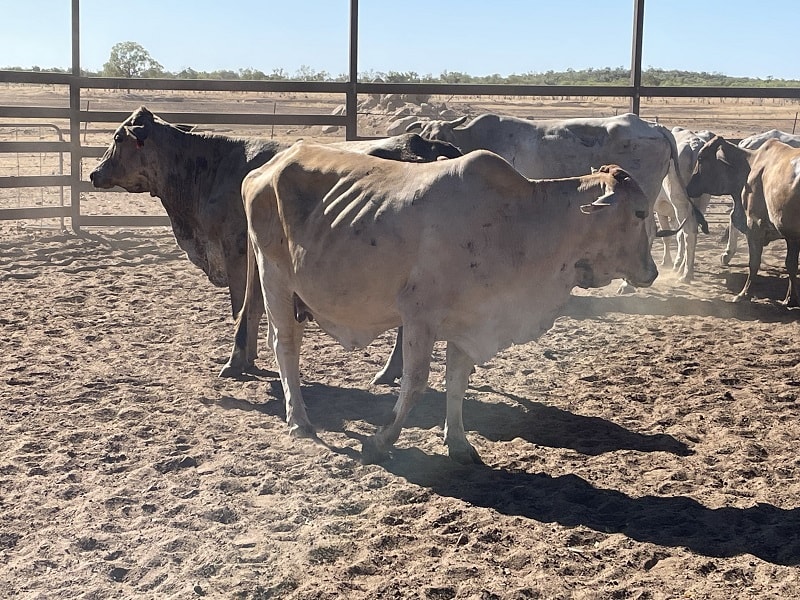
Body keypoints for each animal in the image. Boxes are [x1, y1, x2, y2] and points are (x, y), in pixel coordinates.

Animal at [89, 106, 461, 379]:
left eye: (118, 137)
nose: (94, 173)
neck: (213, 167)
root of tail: (425, 144)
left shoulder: (237, 252)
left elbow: (243, 306)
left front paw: (241, 358)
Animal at [239, 141, 658, 464]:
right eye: (639, 212)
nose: (652, 272)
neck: (520, 223)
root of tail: (266, 168)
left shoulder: (470, 320)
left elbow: (457, 382)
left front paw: (457, 441)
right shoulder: (419, 319)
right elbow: (415, 384)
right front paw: (379, 441)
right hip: (274, 277)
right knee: (285, 345)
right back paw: (299, 421)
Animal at [687, 136, 800, 306]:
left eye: (700, 159)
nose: (688, 187)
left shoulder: (754, 225)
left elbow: (754, 262)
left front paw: (743, 294)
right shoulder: (791, 235)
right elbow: (790, 265)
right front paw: (790, 298)